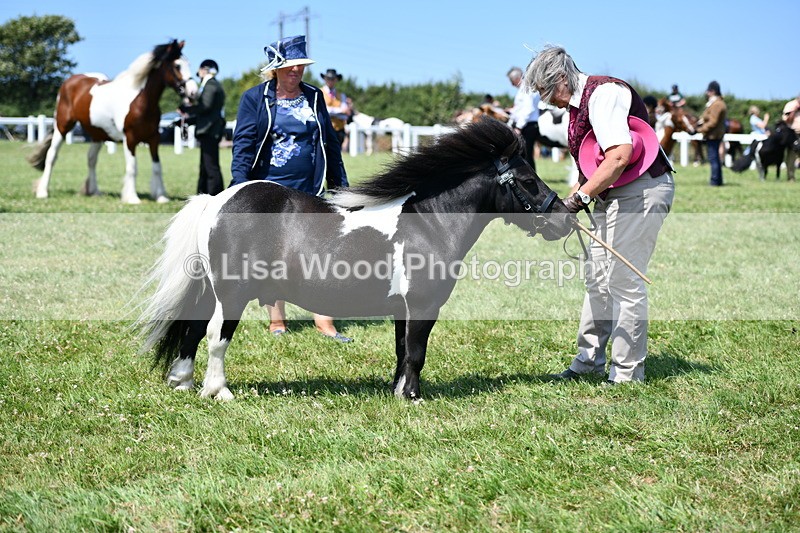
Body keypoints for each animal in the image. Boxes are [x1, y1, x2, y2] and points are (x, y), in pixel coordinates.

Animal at [28, 40, 198, 204]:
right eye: (177, 65)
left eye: (189, 64)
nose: (193, 93)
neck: (140, 100)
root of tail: (71, 81)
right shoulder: (130, 139)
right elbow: (132, 168)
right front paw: (132, 198)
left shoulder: (154, 138)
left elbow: (157, 167)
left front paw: (161, 197)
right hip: (62, 126)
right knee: (51, 155)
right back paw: (43, 192)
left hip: (97, 134)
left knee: (91, 159)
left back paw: (94, 191)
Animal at [136, 118, 573, 401]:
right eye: (528, 181)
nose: (566, 217)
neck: (428, 223)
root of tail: (218, 200)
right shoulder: (424, 306)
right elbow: (417, 352)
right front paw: (412, 398)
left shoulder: (402, 309)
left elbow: (402, 351)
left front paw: (398, 391)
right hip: (232, 294)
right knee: (215, 335)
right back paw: (218, 391)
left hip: (214, 291)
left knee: (193, 330)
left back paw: (184, 382)